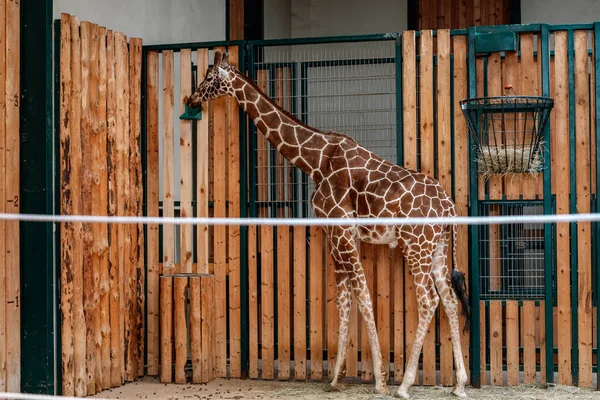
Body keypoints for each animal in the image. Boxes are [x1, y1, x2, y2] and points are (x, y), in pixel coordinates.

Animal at [188, 51, 474, 398]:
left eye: (209, 77)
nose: (191, 98)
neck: (315, 160)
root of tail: (449, 206)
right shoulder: (335, 235)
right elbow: (344, 300)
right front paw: (337, 377)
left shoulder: (341, 233)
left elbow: (362, 297)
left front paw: (379, 379)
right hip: (437, 248)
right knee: (449, 299)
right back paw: (459, 384)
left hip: (415, 246)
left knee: (428, 300)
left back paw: (405, 384)